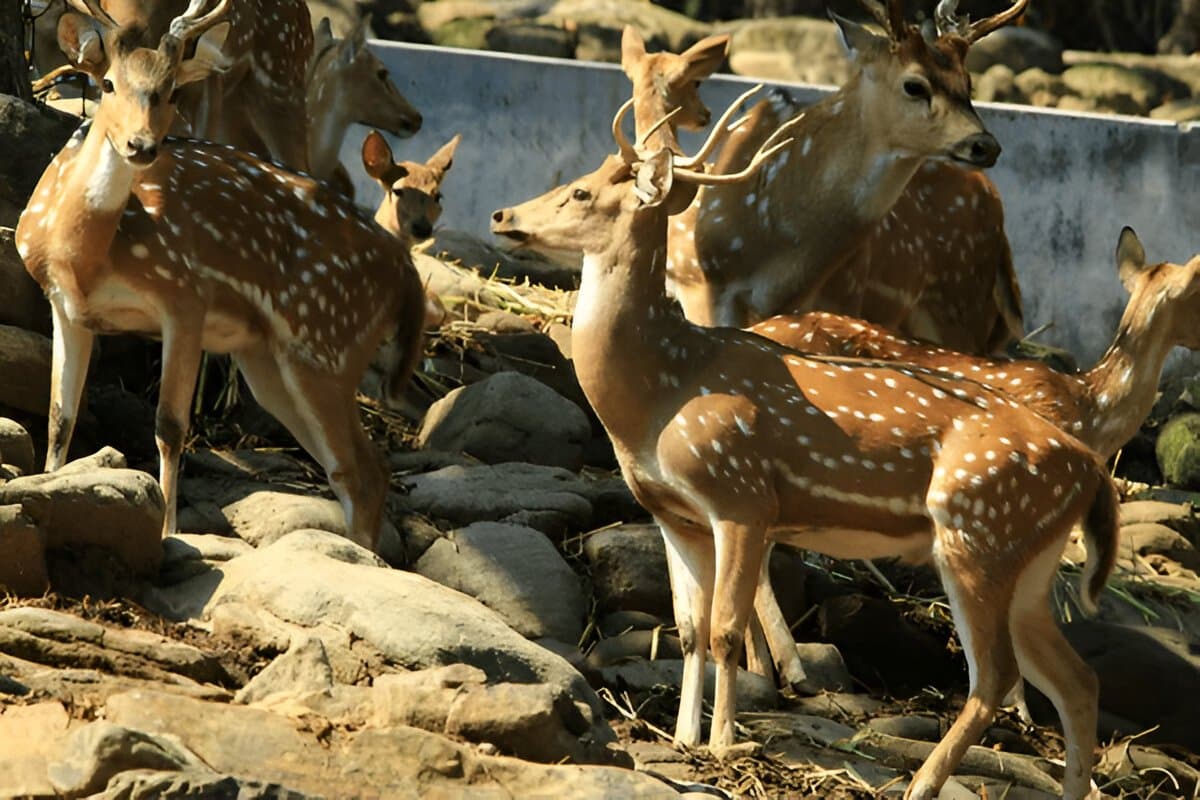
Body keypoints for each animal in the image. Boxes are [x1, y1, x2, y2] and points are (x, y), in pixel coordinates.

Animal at [54, 0, 313, 170]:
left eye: (174, 90)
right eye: (107, 84)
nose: (141, 146)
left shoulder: (208, 90)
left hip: (282, 85)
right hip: (237, 112)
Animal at [491, 91, 1116, 800]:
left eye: (580, 192)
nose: (503, 214)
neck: (657, 394)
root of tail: (1093, 470)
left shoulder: (742, 496)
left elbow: (727, 629)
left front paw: (724, 743)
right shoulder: (674, 512)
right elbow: (688, 629)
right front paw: (682, 737)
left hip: (977, 533)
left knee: (994, 679)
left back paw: (919, 785)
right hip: (1027, 562)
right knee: (1076, 680)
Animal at [665, 0, 1026, 355]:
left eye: (968, 83)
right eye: (914, 85)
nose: (985, 145)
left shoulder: (840, 295)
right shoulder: (701, 285)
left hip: (962, 305)